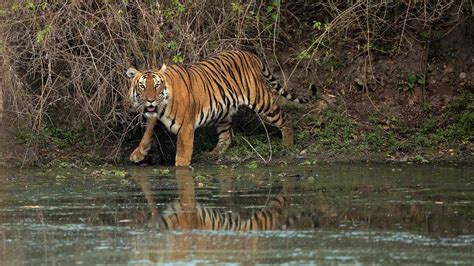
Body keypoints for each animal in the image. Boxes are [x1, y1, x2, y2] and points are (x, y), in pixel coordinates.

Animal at [125, 50, 308, 165]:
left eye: (157, 85)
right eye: (142, 86)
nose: (150, 100)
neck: (162, 105)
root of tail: (251, 55)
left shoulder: (186, 127)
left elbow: (183, 153)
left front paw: (181, 170)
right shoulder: (154, 114)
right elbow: (147, 132)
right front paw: (138, 154)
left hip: (261, 101)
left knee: (285, 118)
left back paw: (287, 145)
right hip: (223, 111)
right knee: (227, 136)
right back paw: (214, 153)